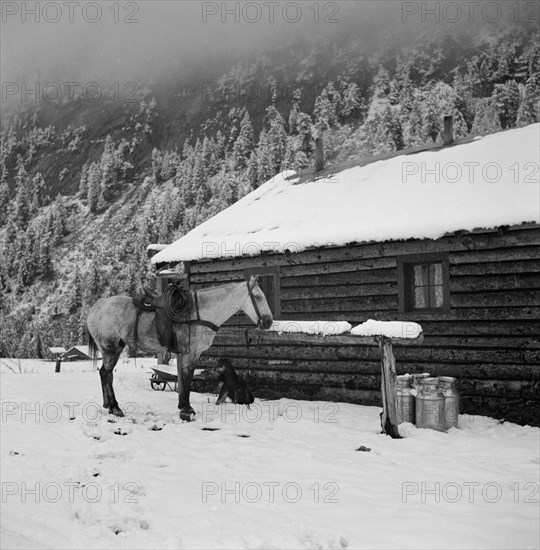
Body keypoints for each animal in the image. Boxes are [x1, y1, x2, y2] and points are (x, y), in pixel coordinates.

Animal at [89, 276, 274, 422]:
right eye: (258, 296)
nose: (268, 321)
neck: (200, 314)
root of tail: (96, 307)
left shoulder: (187, 355)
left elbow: (184, 379)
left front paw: (184, 408)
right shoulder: (189, 353)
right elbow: (185, 379)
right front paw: (186, 410)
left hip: (114, 348)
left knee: (104, 373)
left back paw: (108, 405)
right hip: (110, 348)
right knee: (107, 374)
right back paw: (115, 408)